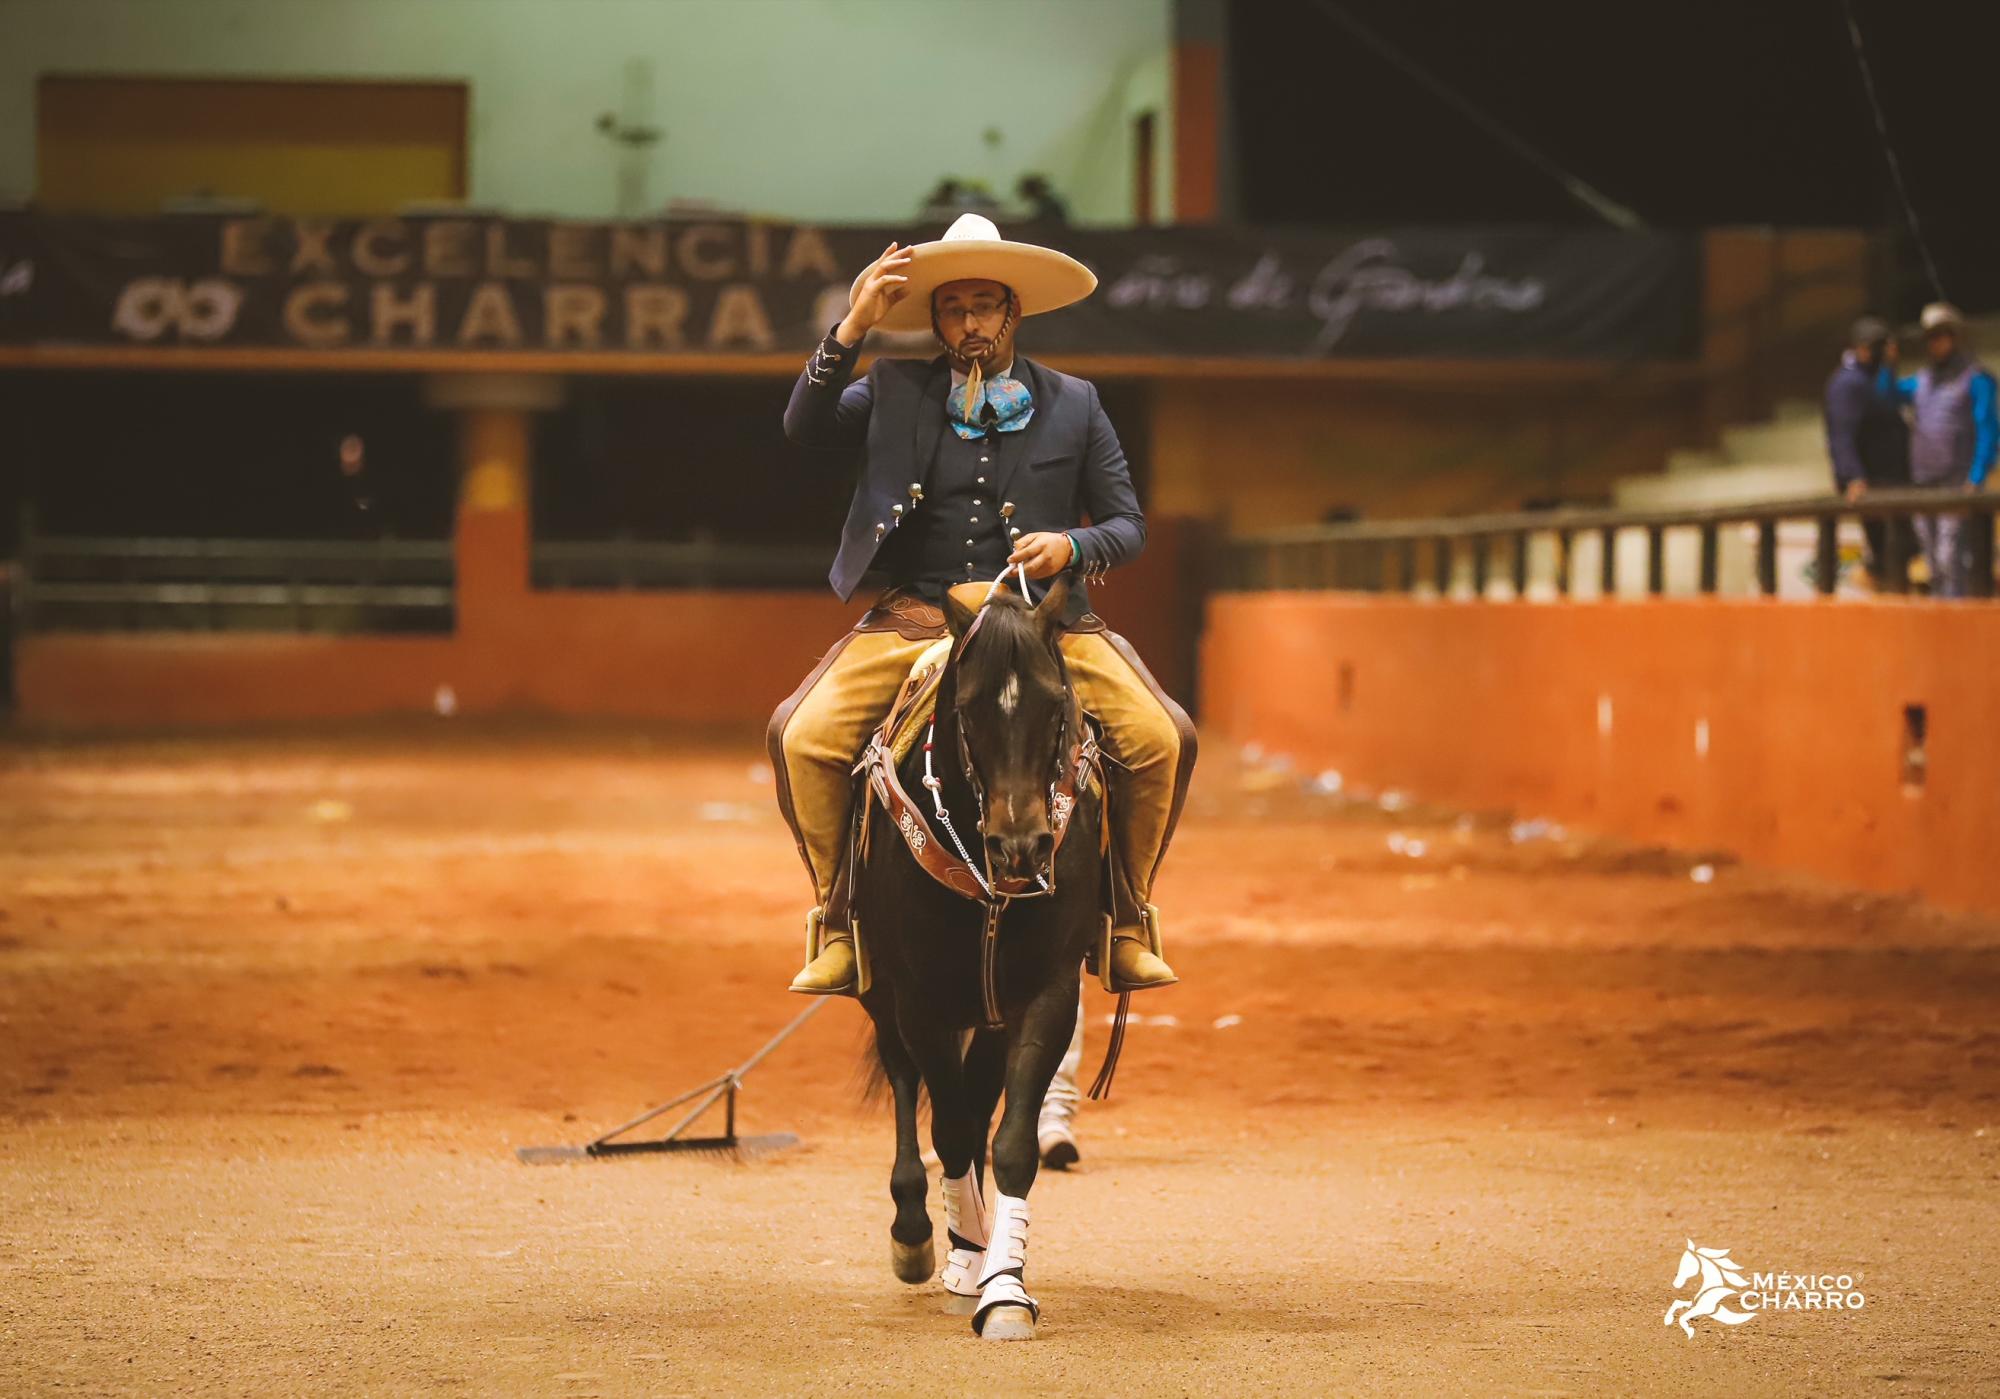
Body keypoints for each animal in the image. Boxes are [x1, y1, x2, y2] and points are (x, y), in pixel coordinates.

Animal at [852, 575, 1104, 1335]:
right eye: (967, 709)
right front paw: (965, 1254)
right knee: (911, 1085)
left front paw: (1005, 1286)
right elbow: (952, 1126)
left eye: (1055, 705)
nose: (1020, 848)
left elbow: (1010, 1140)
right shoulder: (920, 1001)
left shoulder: (1046, 996)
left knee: (978, 1096)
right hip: (883, 997)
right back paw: (918, 1230)